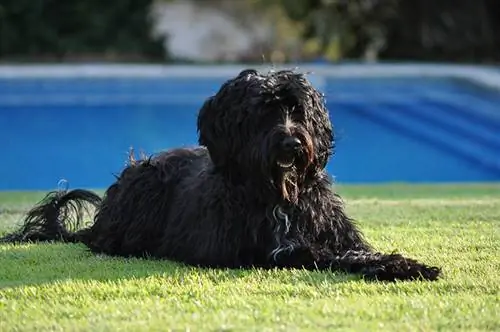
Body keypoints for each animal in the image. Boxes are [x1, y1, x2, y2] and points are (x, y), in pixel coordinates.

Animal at [2, 68, 442, 282]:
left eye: (297, 110)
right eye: (262, 112)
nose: (291, 144)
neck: (278, 194)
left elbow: (357, 250)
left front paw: (405, 264)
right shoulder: (265, 250)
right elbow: (320, 254)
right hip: (145, 186)